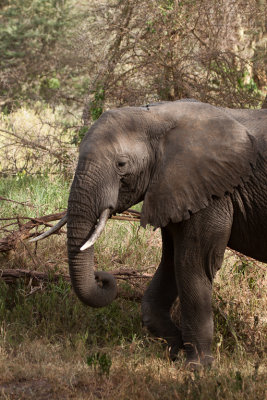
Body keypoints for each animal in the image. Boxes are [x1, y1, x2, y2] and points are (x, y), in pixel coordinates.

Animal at [31, 99, 267, 366]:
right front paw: (174, 350)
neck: (156, 116)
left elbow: (192, 263)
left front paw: (197, 367)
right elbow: (170, 264)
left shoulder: (214, 190)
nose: (101, 276)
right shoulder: (176, 189)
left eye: (121, 165)